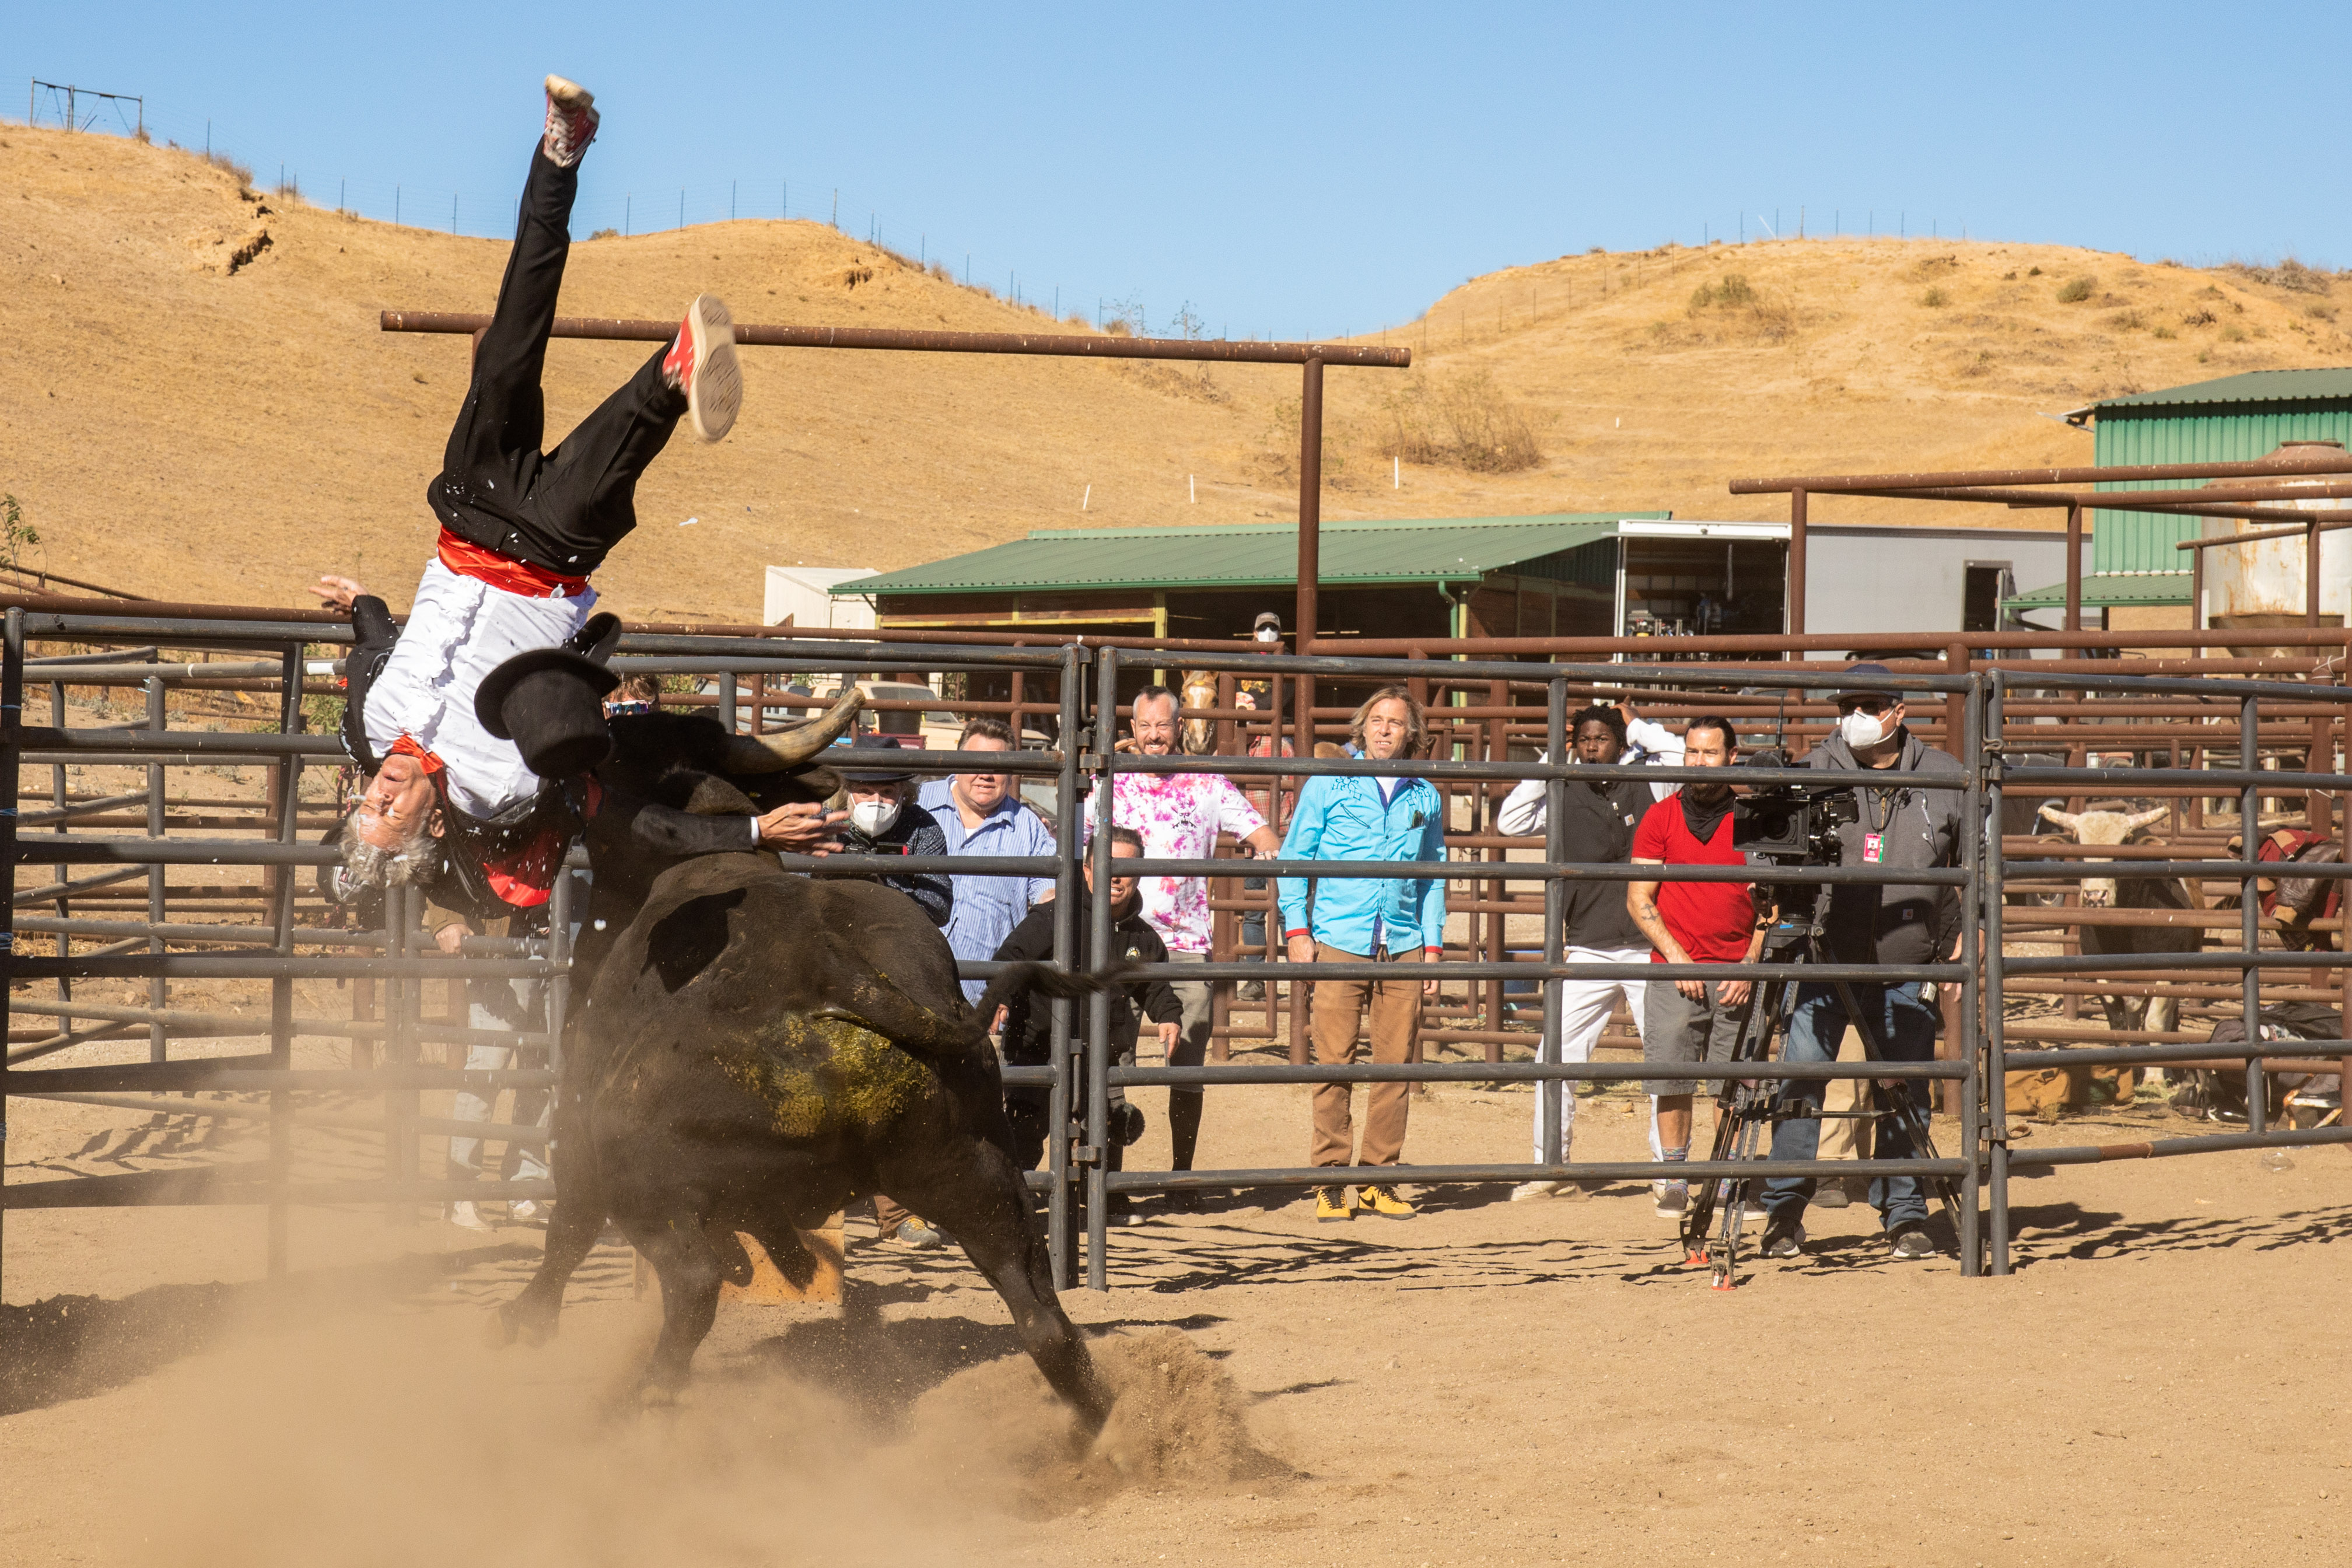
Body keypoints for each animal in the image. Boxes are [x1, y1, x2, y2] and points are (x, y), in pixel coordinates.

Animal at [489, 705, 1110, 1429]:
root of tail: (837, 973)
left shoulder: (580, 1129)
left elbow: (569, 1228)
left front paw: (524, 1321)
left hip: (640, 1177)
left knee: (690, 1282)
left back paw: (639, 1400)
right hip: (976, 1170)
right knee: (1041, 1315)